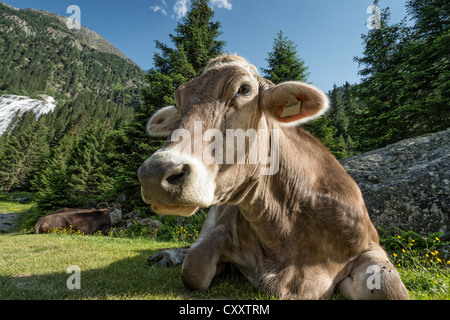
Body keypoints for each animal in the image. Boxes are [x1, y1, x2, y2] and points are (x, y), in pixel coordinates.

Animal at [139, 54, 410, 300]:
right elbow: (194, 269)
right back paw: (165, 255)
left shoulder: (369, 245)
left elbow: (390, 289)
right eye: (178, 101)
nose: (155, 172)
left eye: (244, 89)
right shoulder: (220, 230)